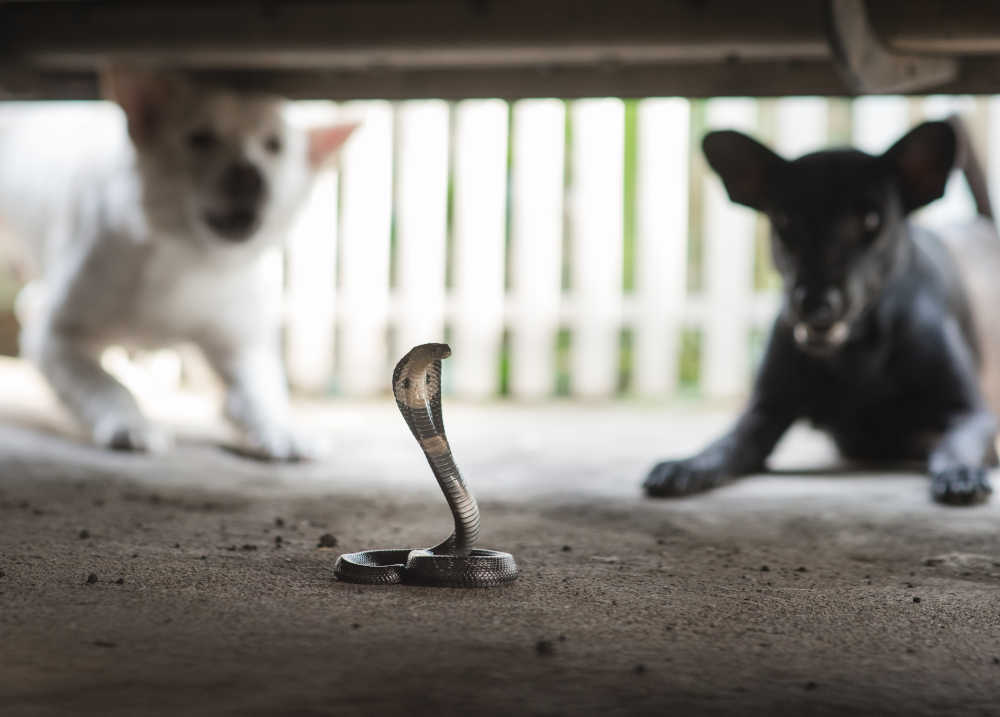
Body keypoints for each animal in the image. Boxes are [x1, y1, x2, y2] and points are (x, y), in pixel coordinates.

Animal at [0, 67, 358, 458]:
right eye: (200, 138)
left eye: (275, 145)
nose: (250, 175)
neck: (188, 260)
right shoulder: (54, 335)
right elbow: (106, 385)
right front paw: (131, 423)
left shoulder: (242, 344)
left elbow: (261, 395)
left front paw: (282, 429)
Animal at [644, 119, 996, 504]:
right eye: (785, 221)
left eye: (871, 221)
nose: (814, 306)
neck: (856, 352)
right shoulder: (763, 412)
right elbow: (725, 444)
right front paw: (688, 464)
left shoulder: (970, 414)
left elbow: (954, 445)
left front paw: (959, 472)